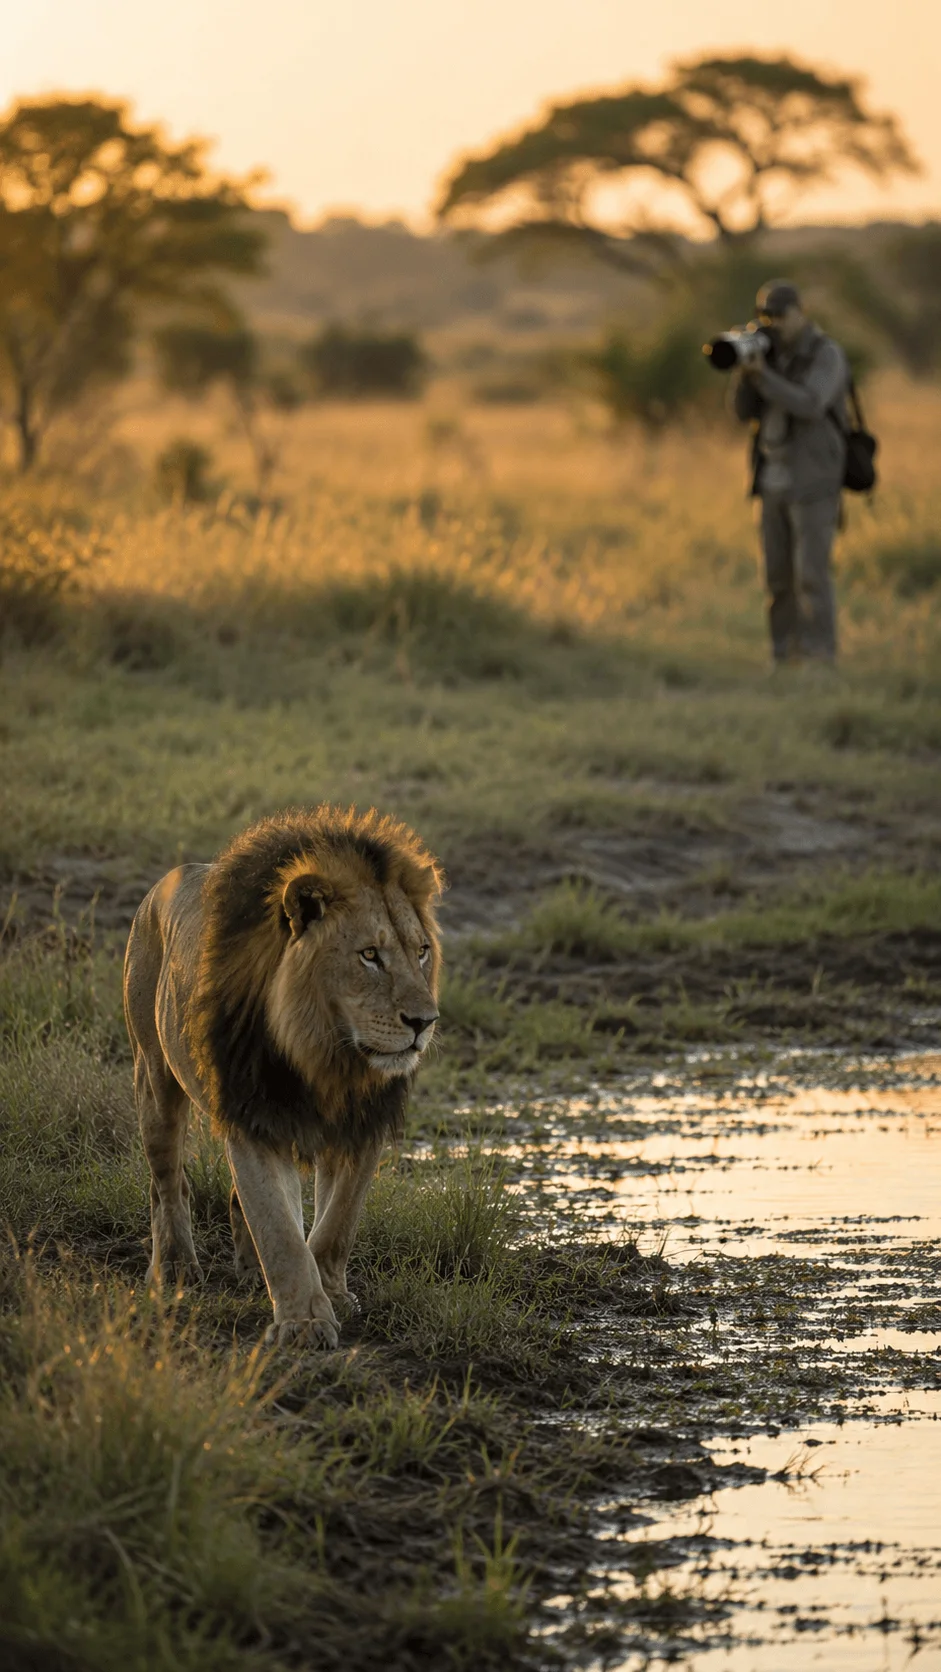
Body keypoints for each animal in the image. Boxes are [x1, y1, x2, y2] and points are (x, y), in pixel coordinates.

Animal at [123, 805, 442, 1348]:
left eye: (420, 951)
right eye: (370, 955)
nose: (424, 1022)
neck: (327, 1055)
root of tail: (161, 886)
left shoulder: (362, 1127)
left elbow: (335, 1224)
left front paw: (330, 1295)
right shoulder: (255, 1119)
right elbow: (279, 1227)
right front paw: (304, 1322)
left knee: (233, 1200)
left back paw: (251, 1272)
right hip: (155, 1076)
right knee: (167, 1184)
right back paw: (175, 1269)